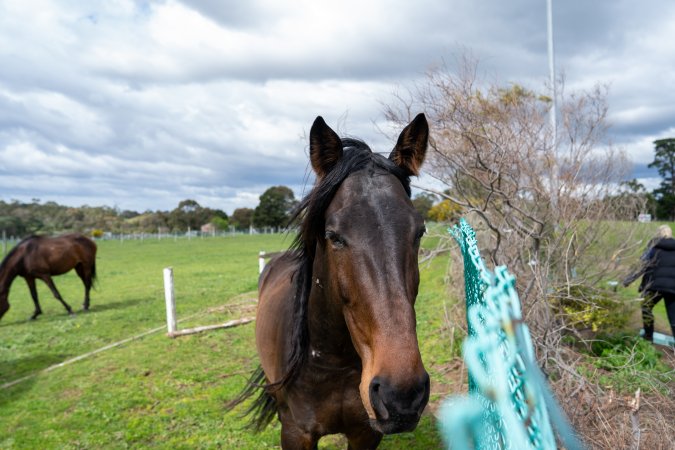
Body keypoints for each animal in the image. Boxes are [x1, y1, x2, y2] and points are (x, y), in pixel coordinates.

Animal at [233, 114, 430, 449]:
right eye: (333, 236)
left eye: (419, 231)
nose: (402, 395)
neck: (332, 364)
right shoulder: (295, 433)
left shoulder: (365, 434)